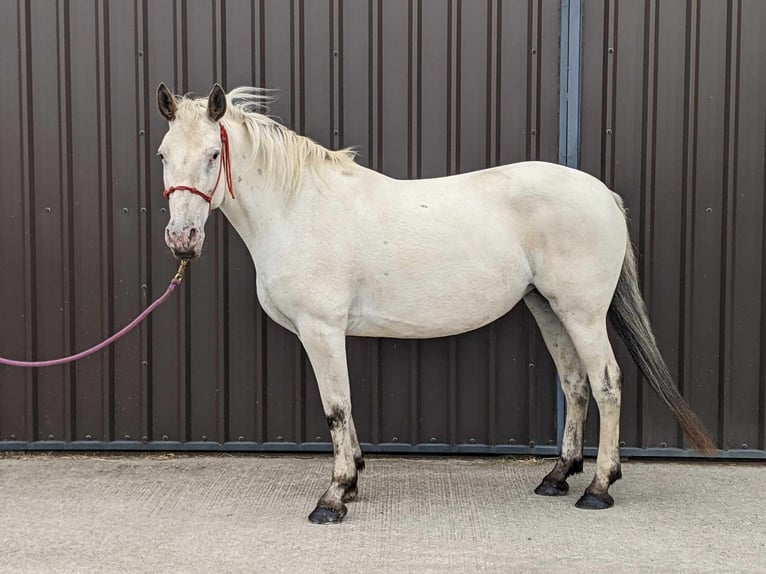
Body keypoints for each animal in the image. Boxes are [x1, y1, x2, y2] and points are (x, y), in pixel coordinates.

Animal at [158, 83, 720, 524]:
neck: (299, 207)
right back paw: (558, 477)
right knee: (576, 386)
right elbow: (346, 409)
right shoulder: (329, 333)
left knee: (606, 385)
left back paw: (599, 488)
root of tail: (604, 194)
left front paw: (334, 497)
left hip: (582, 313)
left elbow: (336, 409)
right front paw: (354, 481)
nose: (183, 240)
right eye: (163, 153)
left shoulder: (321, 329)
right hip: (548, 309)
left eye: (213, 155)